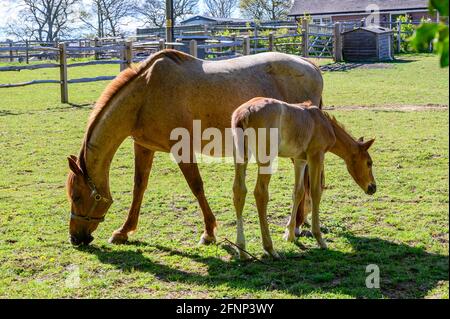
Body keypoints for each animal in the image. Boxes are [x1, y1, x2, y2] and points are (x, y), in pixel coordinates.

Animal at [232, 97, 376, 260]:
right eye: (369, 163)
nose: (373, 187)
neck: (324, 123)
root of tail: (245, 112)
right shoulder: (316, 156)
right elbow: (315, 192)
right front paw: (319, 238)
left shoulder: (300, 160)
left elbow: (298, 192)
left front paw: (289, 234)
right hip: (266, 159)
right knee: (260, 193)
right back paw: (270, 248)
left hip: (240, 157)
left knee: (239, 191)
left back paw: (242, 250)